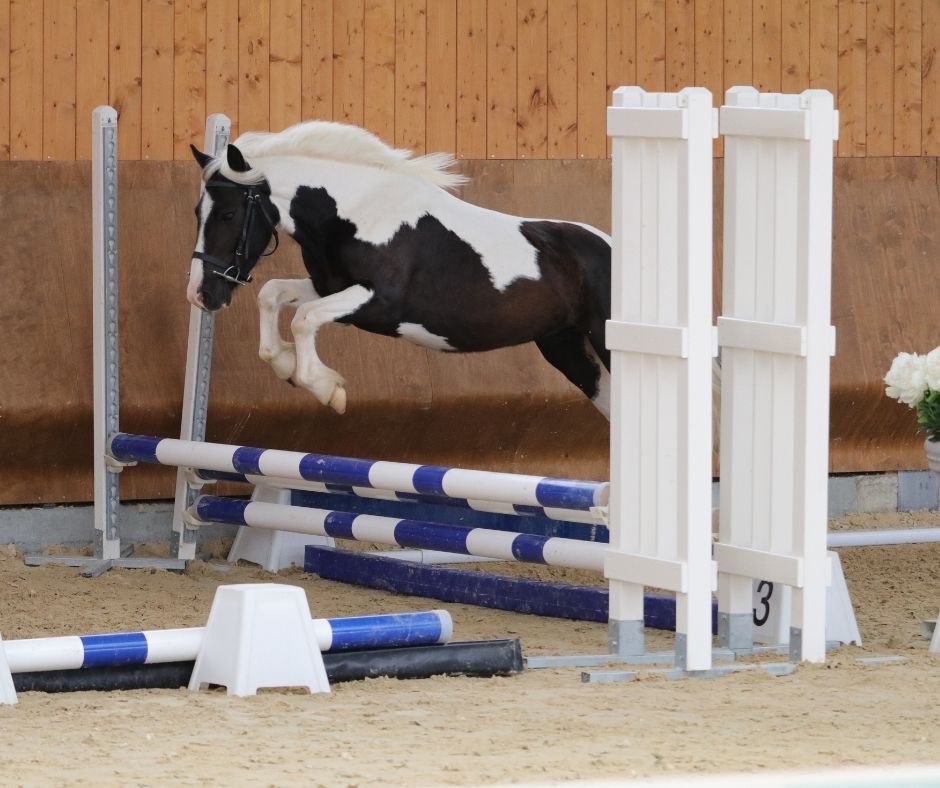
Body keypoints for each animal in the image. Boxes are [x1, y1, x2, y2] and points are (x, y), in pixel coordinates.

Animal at [186, 121, 612, 418]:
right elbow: (272, 293)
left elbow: (304, 318)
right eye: (197, 212)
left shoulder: (378, 303)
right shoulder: (330, 287)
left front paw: (326, 388)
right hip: (567, 349)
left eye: (227, 214)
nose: (201, 294)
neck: (358, 213)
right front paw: (287, 365)